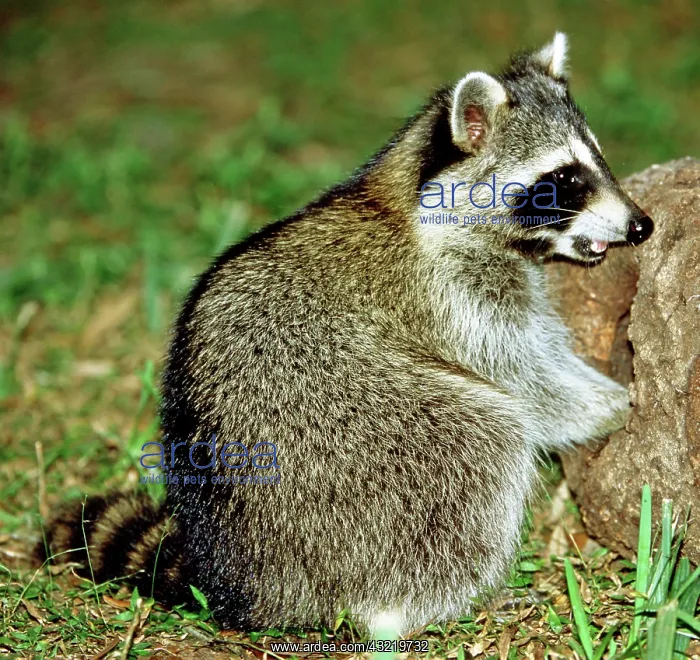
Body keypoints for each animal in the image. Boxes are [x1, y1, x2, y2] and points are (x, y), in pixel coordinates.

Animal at [40, 34, 653, 635]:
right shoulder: (450, 296)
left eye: (597, 157)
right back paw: (429, 605)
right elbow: (528, 379)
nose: (640, 224)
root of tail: (250, 582)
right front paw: (613, 403)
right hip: (364, 447)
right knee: (484, 435)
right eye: (566, 178)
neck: (417, 195)